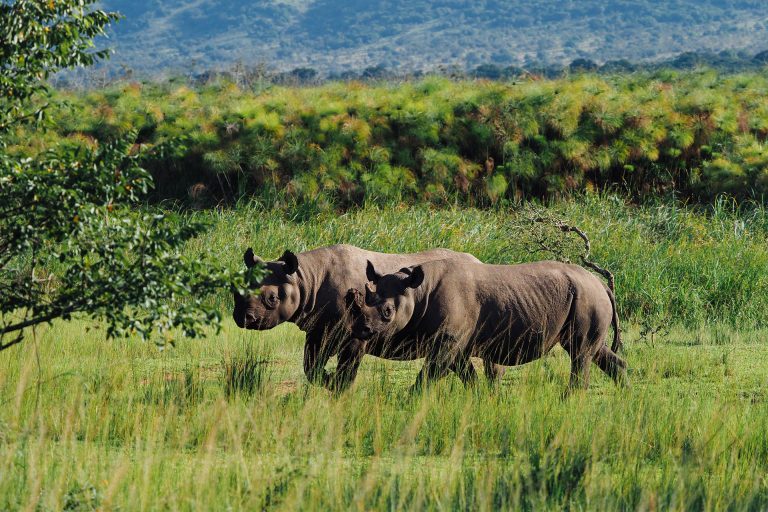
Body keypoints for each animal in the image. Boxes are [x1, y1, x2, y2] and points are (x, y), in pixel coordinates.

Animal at [232, 244, 505, 390]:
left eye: (271, 299)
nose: (241, 318)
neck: (304, 278)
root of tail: (481, 261)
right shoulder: (318, 329)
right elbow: (311, 367)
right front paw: (329, 381)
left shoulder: (355, 335)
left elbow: (346, 368)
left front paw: (339, 388)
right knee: (457, 357)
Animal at [347, 259, 627, 393]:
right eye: (367, 298)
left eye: (387, 312)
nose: (362, 330)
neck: (417, 291)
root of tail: (602, 284)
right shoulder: (454, 342)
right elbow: (466, 375)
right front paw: (480, 399)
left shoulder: (448, 339)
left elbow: (429, 374)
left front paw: (410, 402)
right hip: (587, 296)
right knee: (591, 351)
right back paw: (625, 396)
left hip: (587, 297)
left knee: (580, 353)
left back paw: (566, 402)